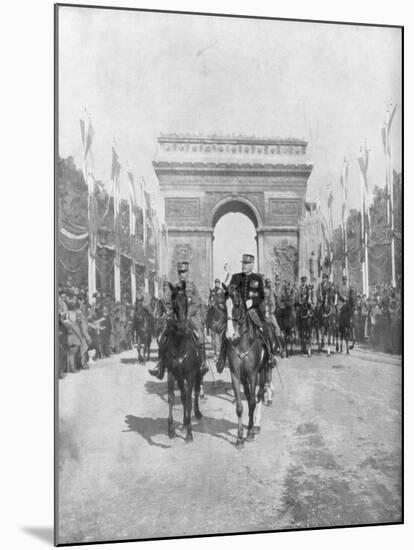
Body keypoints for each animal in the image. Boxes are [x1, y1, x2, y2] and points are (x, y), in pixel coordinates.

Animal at [223, 284, 268, 448]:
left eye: (237, 304)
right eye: (224, 306)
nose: (230, 334)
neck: (242, 342)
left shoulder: (253, 374)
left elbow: (254, 402)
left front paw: (249, 433)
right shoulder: (236, 375)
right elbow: (240, 406)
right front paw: (239, 438)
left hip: (264, 370)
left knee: (258, 396)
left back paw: (256, 425)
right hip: (244, 378)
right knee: (249, 398)